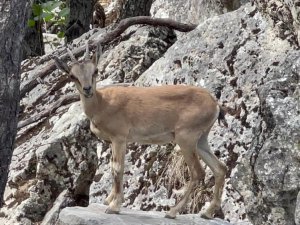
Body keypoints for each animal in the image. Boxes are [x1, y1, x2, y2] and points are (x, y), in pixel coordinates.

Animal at [53, 44, 227, 220]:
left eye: (95, 70)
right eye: (72, 75)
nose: (87, 89)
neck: (102, 104)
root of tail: (214, 104)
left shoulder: (119, 138)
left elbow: (117, 168)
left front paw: (114, 206)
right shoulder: (113, 141)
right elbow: (113, 167)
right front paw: (109, 200)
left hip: (186, 138)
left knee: (198, 172)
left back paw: (172, 211)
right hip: (201, 139)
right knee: (220, 168)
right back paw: (207, 212)